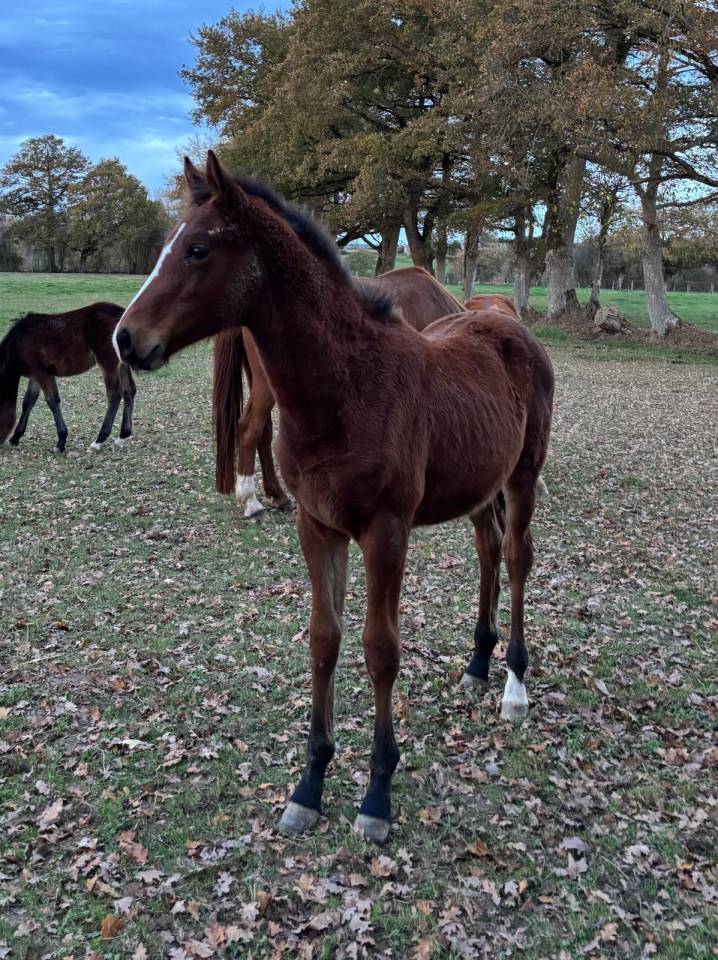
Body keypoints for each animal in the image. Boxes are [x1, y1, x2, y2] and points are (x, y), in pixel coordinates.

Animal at [0, 302, 137, 453]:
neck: (18, 341)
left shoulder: (42, 372)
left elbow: (52, 401)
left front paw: (61, 442)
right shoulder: (35, 375)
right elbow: (28, 402)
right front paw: (15, 437)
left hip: (108, 363)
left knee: (114, 395)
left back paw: (98, 441)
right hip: (122, 365)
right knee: (128, 392)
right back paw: (122, 437)